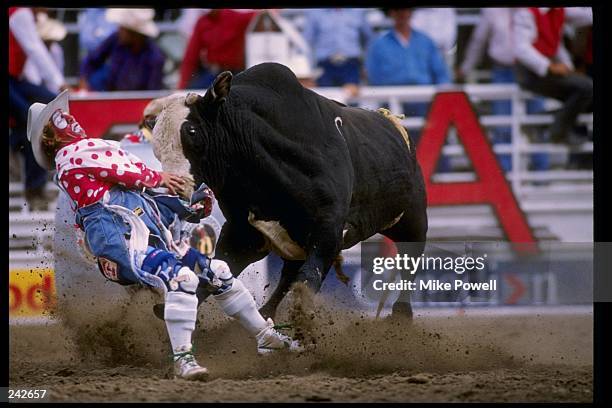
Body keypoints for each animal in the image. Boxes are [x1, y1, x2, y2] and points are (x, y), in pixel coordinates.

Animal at [155, 63, 428, 318]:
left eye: (192, 131)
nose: (174, 188)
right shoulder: (243, 235)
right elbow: (213, 276)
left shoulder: (328, 230)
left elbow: (307, 281)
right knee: (287, 275)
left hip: (412, 220)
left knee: (410, 258)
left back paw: (401, 314)